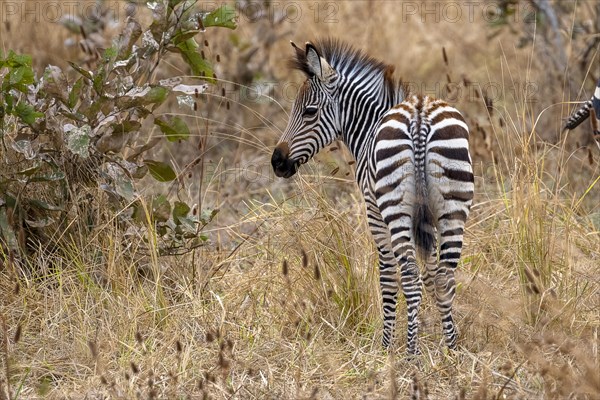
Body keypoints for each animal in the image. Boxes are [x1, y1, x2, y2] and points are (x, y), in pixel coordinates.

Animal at [270, 39, 474, 354]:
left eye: (309, 112)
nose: (276, 162)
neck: (368, 128)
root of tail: (419, 116)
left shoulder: (374, 214)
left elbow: (388, 279)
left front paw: (387, 346)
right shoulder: (424, 219)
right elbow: (430, 275)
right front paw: (438, 335)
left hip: (394, 208)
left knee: (409, 278)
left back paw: (410, 355)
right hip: (453, 206)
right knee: (445, 276)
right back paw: (452, 351)